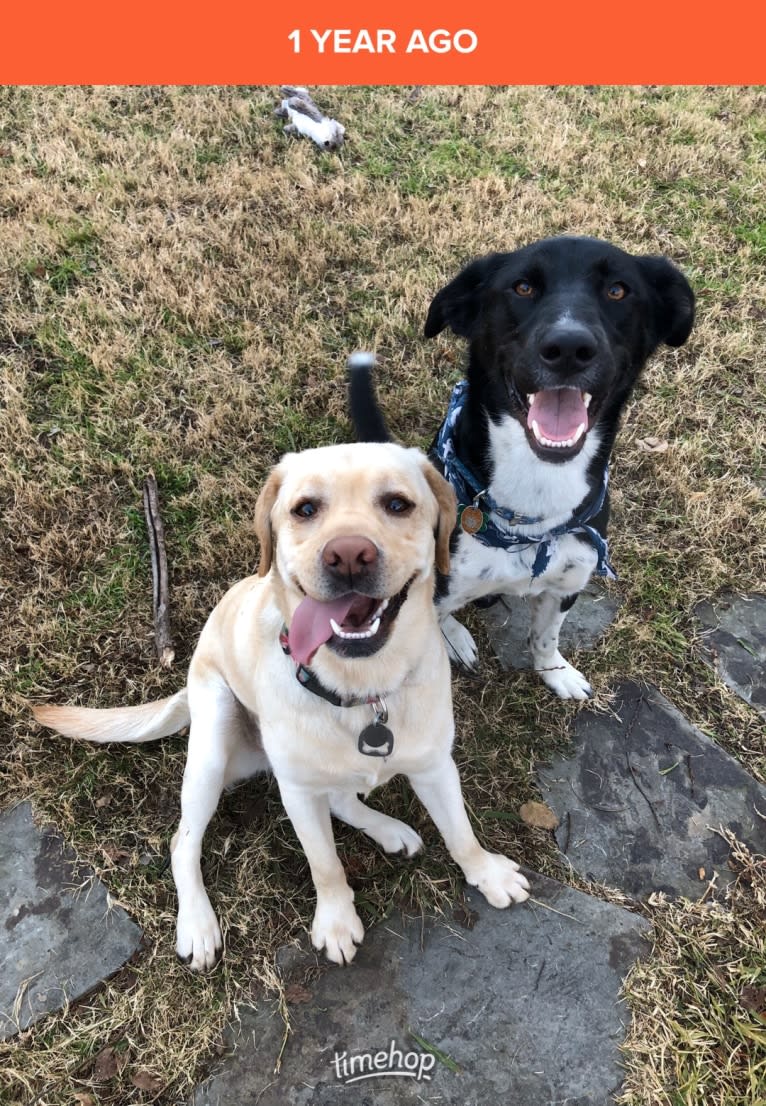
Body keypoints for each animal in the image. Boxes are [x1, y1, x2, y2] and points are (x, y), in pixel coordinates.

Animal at [351, 236, 694, 694]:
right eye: (523, 287)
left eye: (618, 290)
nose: (569, 349)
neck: (538, 487)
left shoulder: (568, 582)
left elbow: (546, 637)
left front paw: (555, 673)